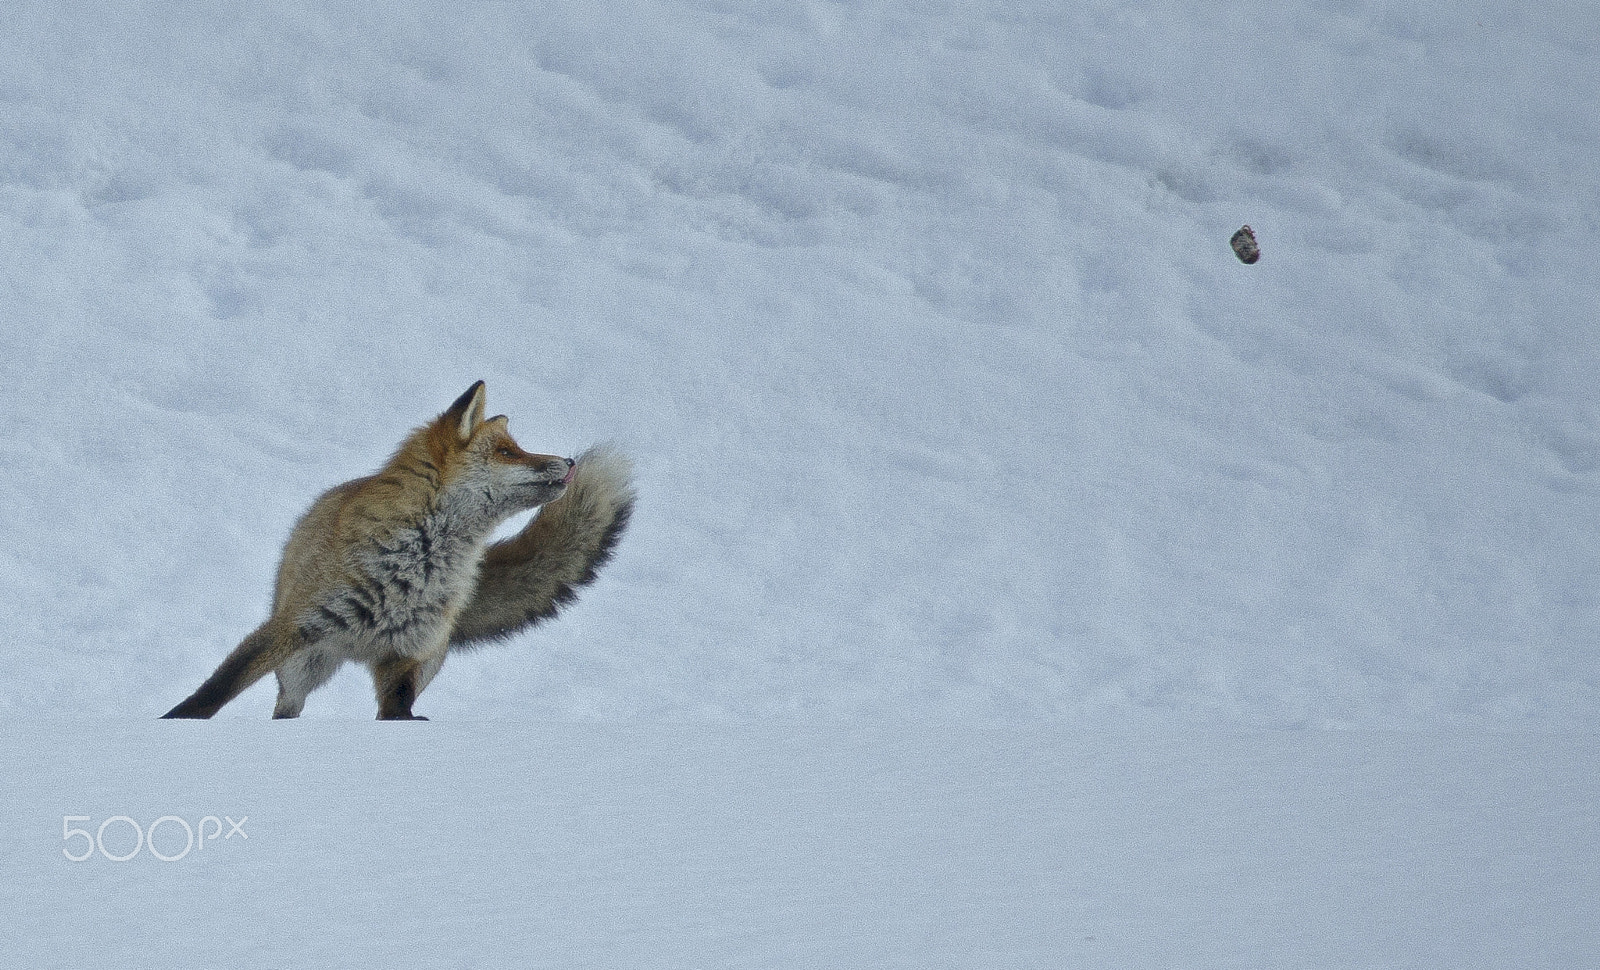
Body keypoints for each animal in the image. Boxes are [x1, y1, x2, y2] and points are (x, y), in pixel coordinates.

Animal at [162, 381, 635, 720]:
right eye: (507, 451)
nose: (569, 462)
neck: (418, 563)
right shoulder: (295, 625)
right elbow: (218, 688)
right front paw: (174, 722)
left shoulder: (407, 655)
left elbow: (396, 712)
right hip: (305, 663)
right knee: (286, 705)